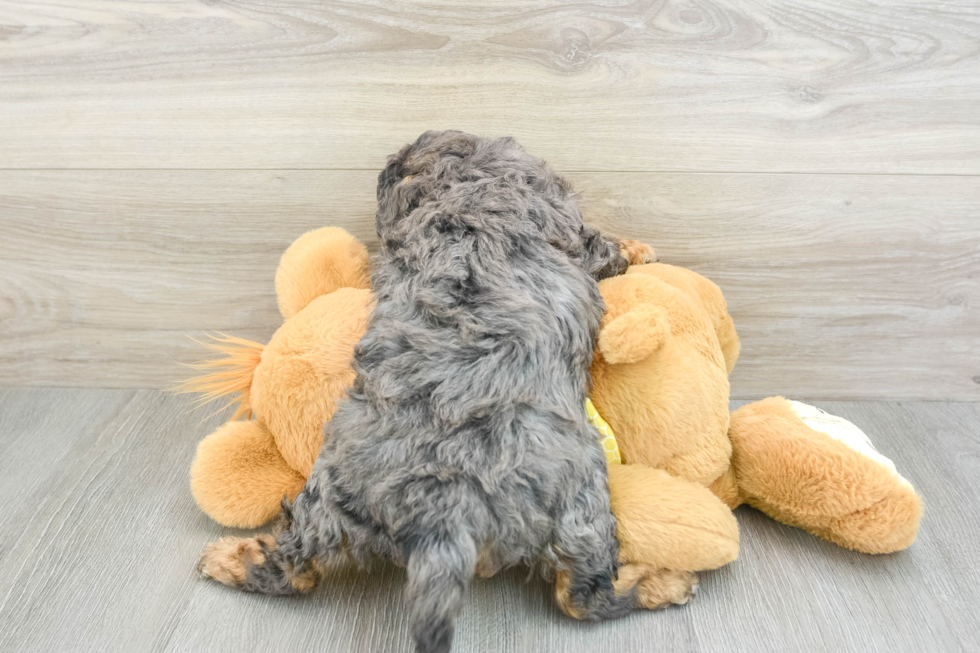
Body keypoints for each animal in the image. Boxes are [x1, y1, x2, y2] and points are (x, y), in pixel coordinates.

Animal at [197, 130, 688, 648]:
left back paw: (228, 559)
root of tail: (446, 506)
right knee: (583, 597)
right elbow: (605, 248)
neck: (468, 183)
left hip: (332, 492)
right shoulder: (571, 229)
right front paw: (640, 248)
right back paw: (663, 581)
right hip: (582, 501)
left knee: (294, 568)